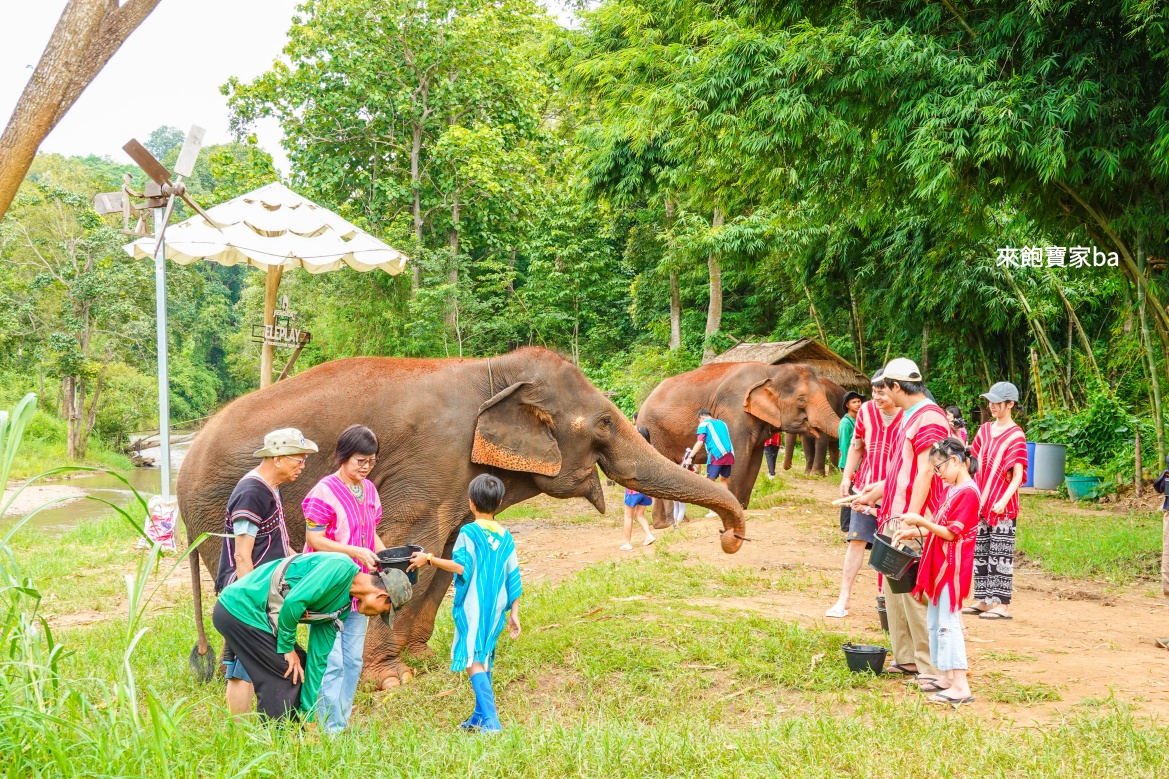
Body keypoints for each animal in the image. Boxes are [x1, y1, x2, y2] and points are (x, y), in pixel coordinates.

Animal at [179, 347, 747, 688]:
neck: (491, 371)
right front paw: (392, 680)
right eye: (605, 422)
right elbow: (405, 547)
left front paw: (421, 660)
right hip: (222, 513)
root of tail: (183, 464)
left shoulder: (452, 479)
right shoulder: (429, 466)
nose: (730, 538)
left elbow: (446, 555)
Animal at [636, 361, 842, 524]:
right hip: (655, 432)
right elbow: (740, 458)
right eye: (801, 399)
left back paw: (663, 524)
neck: (771, 371)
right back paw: (673, 522)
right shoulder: (734, 412)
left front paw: (742, 507)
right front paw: (734, 511)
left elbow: (754, 462)